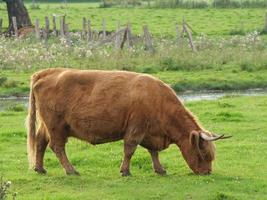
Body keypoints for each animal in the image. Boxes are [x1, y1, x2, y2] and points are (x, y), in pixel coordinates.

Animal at [27, 68, 232, 176]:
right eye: (203, 153)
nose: (207, 172)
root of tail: (46, 72)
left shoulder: (151, 133)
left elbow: (153, 152)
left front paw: (159, 169)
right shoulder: (136, 129)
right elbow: (130, 150)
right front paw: (125, 171)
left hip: (47, 126)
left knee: (40, 142)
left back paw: (40, 168)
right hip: (56, 126)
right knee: (57, 147)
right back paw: (71, 170)